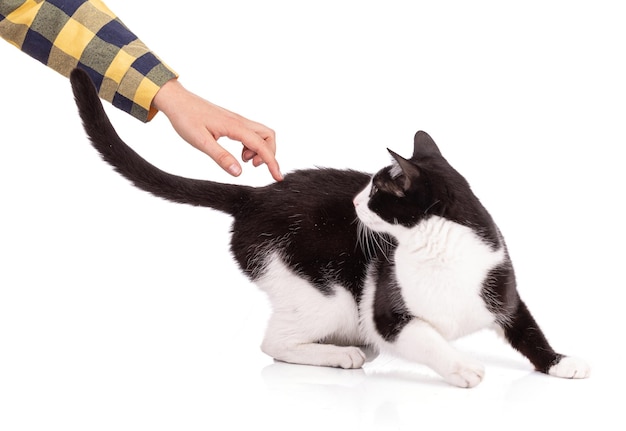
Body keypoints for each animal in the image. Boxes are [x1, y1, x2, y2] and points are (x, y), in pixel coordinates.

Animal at [70, 69, 588, 390]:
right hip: (324, 291)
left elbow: (530, 332)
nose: (355, 201)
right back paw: (342, 355)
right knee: (274, 343)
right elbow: (426, 337)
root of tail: (256, 195)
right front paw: (461, 366)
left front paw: (561, 362)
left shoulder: (501, 290)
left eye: (376, 190)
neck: (439, 252)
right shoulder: (388, 314)